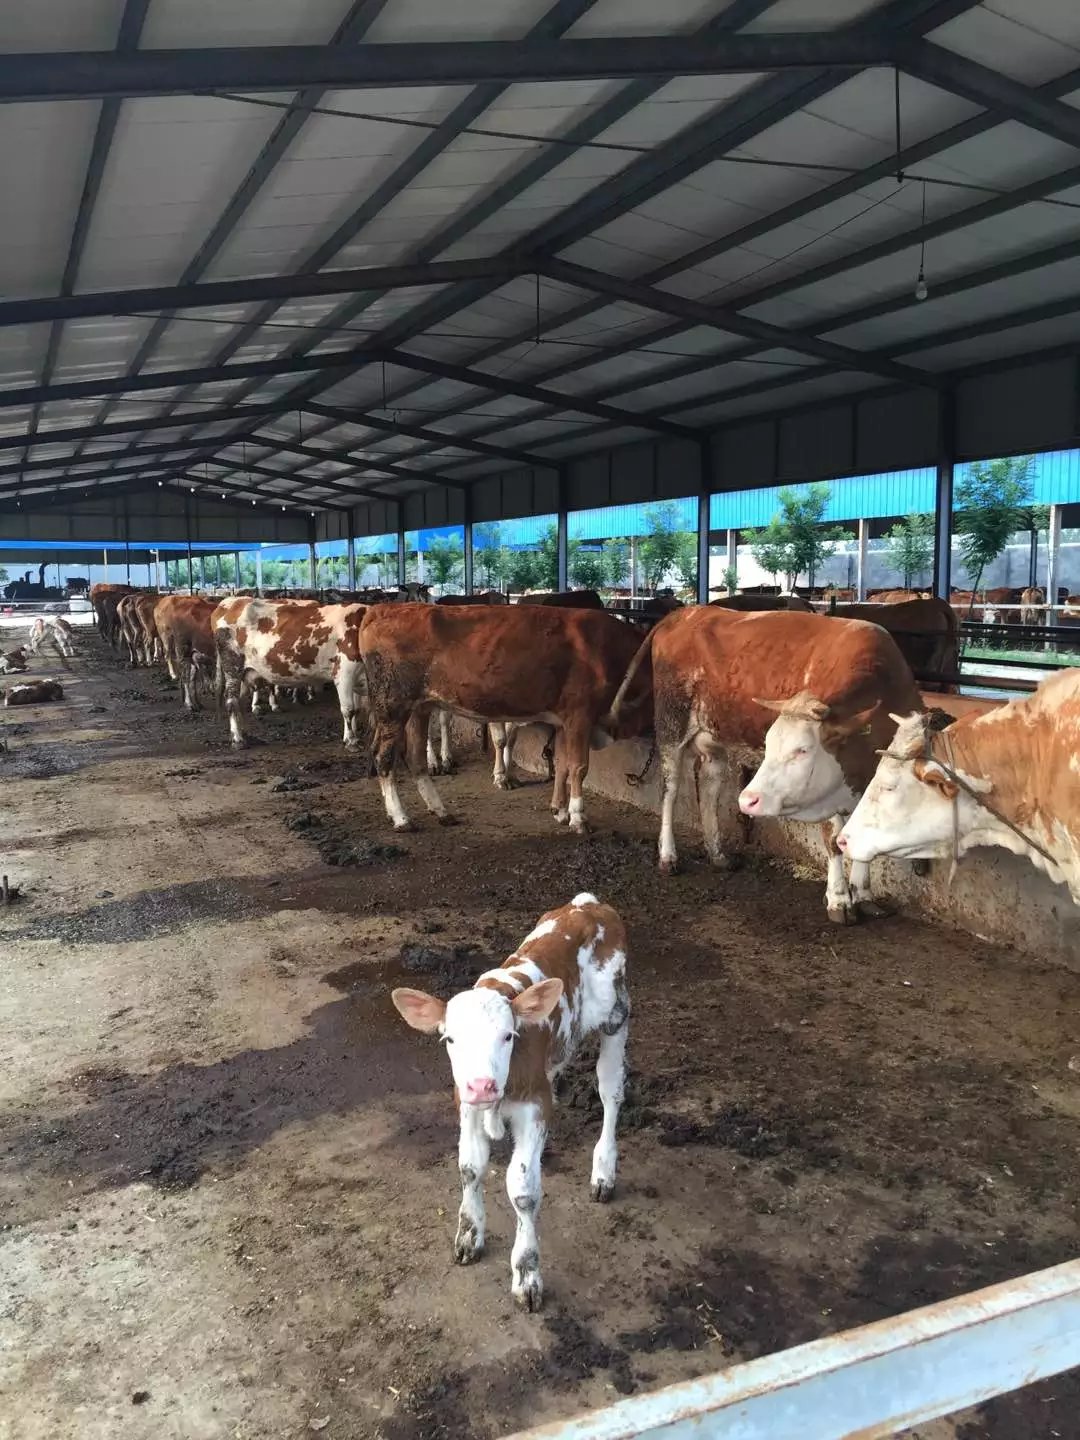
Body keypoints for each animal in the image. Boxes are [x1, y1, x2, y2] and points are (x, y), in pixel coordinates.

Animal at [212, 598, 367, 748]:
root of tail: (230, 604)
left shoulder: (358, 679)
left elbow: (357, 710)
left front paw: (355, 736)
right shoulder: (344, 673)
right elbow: (349, 709)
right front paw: (351, 741)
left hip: (245, 673)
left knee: (240, 702)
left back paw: (244, 734)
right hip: (233, 667)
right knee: (232, 702)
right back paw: (238, 740)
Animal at [359, 604, 652, 833]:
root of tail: (380, 609)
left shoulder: (563, 720)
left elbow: (562, 764)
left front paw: (559, 810)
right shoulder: (581, 714)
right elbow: (579, 767)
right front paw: (579, 818)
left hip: (420, 707)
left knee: (416, 758)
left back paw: (441, 811)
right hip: (392, 706)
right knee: (383, 756)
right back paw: (400, 817)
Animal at [391, 893, 629, 1312]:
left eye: (507, 1036)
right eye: (449, 1039)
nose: (482, 1085)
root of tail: (588, 905)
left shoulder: (534, 1106)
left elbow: (522, 1190)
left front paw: (527, 1273)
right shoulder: (466, 1106)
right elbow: (470, 1168)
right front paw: (469, 1234)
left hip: (616, 1016)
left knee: (610, 1093)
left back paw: (604, 1170)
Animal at [607, 608, 923, 923]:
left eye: (802, 750)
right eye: (770, 743)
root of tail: (685, 612)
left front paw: (865, 895)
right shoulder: (824, 789)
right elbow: (833, 839)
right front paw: (839, 900)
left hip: (715, 737)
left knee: (708, 788)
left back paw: (718, 854)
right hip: (671, 724)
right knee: (670, 791)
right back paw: (668, 856)